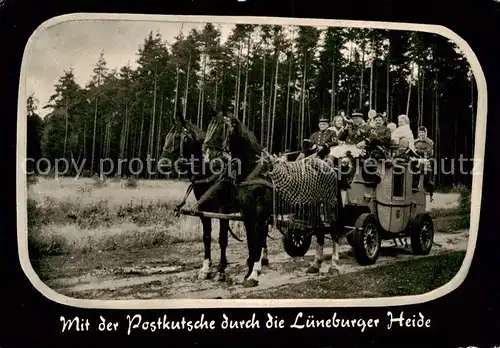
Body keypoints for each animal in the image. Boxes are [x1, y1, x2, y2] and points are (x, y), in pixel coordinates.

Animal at [162, 115, 236, 282]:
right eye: (167, 136)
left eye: (181, 138)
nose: (162, 164)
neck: (210, 173)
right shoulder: (203, 211)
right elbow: (206, 237)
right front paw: (205, 269)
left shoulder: (223, 212)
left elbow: (222, 239)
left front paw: (222, 270)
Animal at [202, 115, 344, 286]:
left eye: (221, 129)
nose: (206, 155)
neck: (255, 171)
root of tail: (329, 167)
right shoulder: (247, 215)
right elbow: (251, 243)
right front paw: (248, 274)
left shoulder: (260, 215)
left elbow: (258, 242)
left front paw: (254, 274)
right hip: (312, 207)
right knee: (321, 230)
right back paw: (315, 264)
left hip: (329, 205)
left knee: (334, 231)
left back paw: (334, 266)